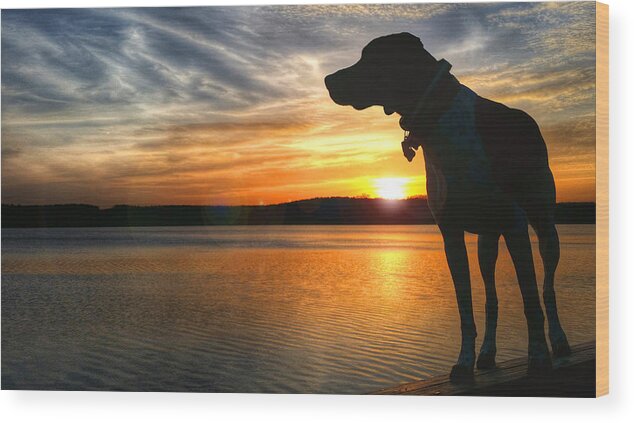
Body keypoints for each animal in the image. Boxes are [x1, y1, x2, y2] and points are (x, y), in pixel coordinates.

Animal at [324, 33, 572, 382]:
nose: (327, 80)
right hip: (486, 242)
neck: (437, 118)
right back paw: (488, 353)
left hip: (544, 227)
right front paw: (465, 361)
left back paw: (559, 341)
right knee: (492, 298)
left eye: (370, 57)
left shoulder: (514, 225)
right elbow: (465, 306)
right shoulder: (451, 235)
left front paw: (537, 357)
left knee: (547, 288)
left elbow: (530, 298)